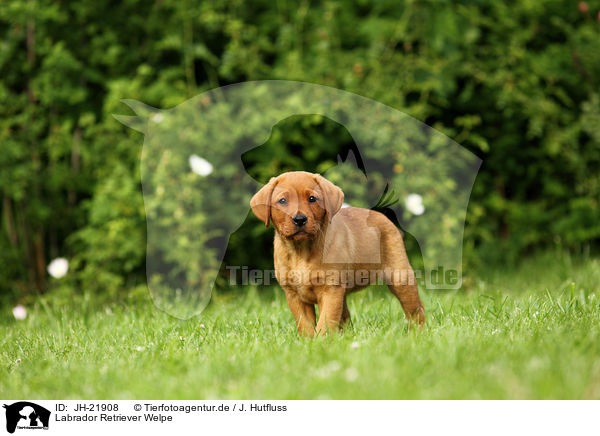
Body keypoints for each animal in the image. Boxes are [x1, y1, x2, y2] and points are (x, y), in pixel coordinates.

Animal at [251, 171, 424, 338]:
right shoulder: (294, 295)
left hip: (400, 277)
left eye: (312, 199)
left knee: (417, 310)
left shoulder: (330, 290)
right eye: (282, 201)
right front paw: (308, 343)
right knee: (345, 319)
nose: (300, 219)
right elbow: (305, 325)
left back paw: (417, 334)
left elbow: (325, 322)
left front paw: (320, 342)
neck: (301, 250)